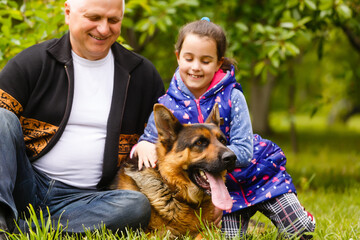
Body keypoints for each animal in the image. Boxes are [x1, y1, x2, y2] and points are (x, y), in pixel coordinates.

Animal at [114, 103, 236, 238]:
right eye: (199, 142)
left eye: (223, 141)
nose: (232, 157)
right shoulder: (150, 234)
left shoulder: (212, 229)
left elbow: (205, 234)